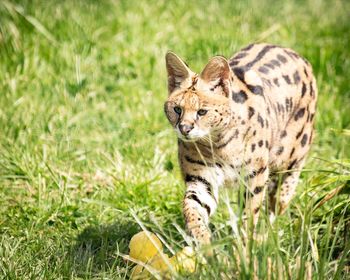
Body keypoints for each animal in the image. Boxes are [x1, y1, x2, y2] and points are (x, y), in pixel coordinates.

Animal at [164, 43, 318, 245]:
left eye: (202, 112)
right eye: (177, 109)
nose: (184, 128)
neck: (217, 144)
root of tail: (292, 52)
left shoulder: (256, 174)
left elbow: (250, 215)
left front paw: (246, 246)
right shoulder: (201, 179)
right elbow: (192, 209)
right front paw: (202, 241)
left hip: (290, 157)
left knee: (279, 199)